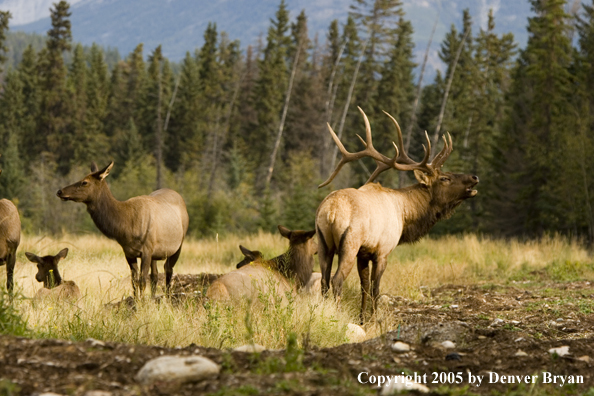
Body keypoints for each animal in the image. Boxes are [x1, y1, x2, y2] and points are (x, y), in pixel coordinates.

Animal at [56, 162, 188, 296]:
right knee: (155, 275)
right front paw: (137, 300)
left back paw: (167, 297)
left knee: (168, 269)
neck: (127, 227)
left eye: (84, 182)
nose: (60, 191)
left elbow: (142, 281)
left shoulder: (147, 250)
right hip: (155, 254)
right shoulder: (128, 252)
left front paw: (143, 301)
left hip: (178, 244)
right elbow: (134, 281)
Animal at [314, 107, 476, 322]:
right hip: (349, 243)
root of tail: (330, 211)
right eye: (445, 178)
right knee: (336, 280)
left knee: (324, 280)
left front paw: (363, 319)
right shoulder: (383, 250)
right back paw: (337, 315)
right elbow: (376, 289)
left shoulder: (363, 254)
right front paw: (375, 320)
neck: (405, 213)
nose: (474, 177)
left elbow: (364, 287)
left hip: (323, 242)